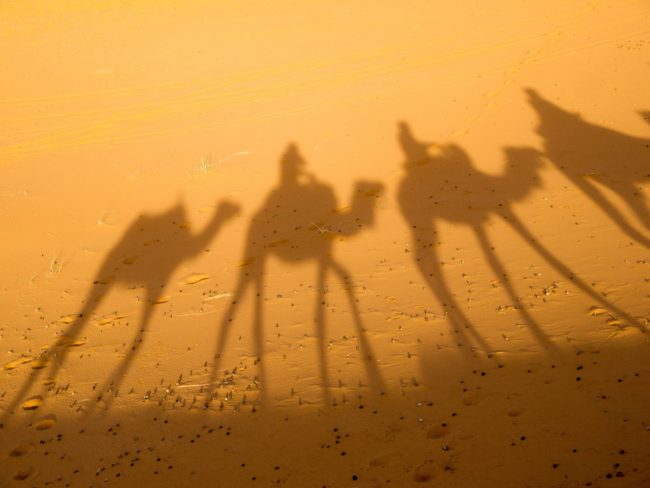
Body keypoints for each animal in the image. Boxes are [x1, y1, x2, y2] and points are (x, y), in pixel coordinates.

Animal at [208, 143, 385, 406]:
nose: (380, 190)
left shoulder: (326, 254)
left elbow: (345, 276)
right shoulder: (323, 255)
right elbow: (321, 307)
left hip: (260, 259)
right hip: (254, 251)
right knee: (235, 305)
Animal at [396, 122, 645, 356]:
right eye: (531, 155)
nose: (545, 161)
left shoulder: (485, 220)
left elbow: (498, 263)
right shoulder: (501, 213)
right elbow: (505, 263)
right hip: (422, 221)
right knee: (425, 262)